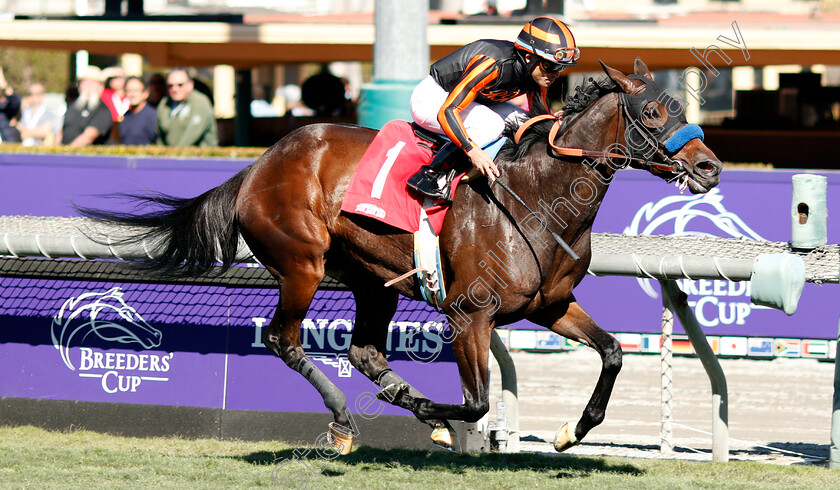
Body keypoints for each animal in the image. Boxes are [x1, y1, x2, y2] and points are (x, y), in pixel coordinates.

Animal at [83, 59, 720, 454]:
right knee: (285, 340)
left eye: (680, 107)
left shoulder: (551, 304)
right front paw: (439, 414)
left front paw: (568, 431)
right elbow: (475, 402)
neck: (536, 196)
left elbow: (612, 352)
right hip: (302, 265)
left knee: (363, 351)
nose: (710, 167)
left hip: (371, 279)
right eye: (654, 114)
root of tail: (259, 164)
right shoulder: (470, 314)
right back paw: (346, 421)